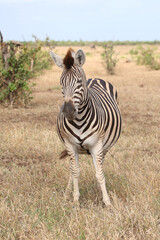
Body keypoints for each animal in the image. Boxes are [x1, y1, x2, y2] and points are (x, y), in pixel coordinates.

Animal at [50, 48, 121, 206]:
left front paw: (107, 201)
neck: (79, 120)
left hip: (105, 147)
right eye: (61, 82)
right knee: (72, 169)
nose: (68, 111)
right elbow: (75, 171)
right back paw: (66, 193)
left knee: (100, 166)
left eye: (78, 81)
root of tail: (95, 78)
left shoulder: (97, 146)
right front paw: (75, 199)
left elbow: (99, 173)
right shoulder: (70, 145)